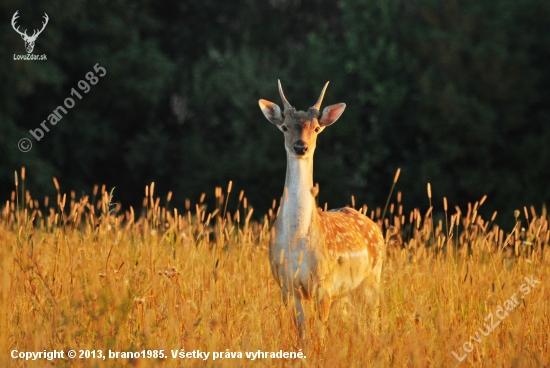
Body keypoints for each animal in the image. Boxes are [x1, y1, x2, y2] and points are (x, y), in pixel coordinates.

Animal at [260, 80, 386, 340]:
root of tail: (376, 228)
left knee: (373, 319)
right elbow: (303, 333)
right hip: (346, 292)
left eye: (317, 128)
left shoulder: (324, 284)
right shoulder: (287, 285)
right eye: (284, 127)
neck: (297, 241)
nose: (301, 146)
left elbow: (319, 333)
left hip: (372, 277)